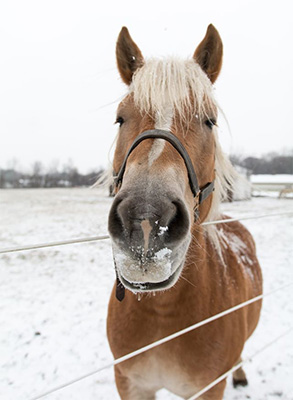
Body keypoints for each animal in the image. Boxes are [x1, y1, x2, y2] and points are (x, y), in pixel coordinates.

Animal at [106, 25, 262, 400]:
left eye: (209, 121)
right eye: (120, 118)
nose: (145, 222)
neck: (163, 314)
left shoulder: (208, 388)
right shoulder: (129, 383)